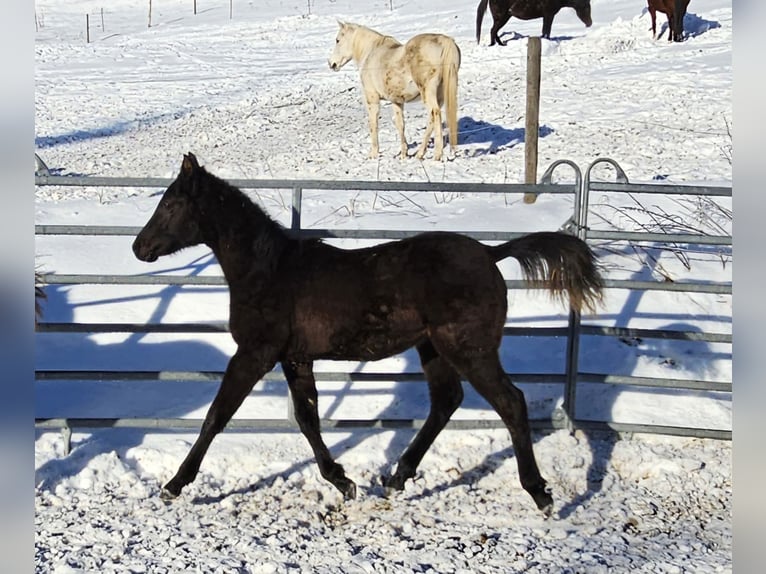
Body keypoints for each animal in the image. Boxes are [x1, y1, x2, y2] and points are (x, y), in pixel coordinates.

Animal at [132, 153, 605, 515]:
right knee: (445, 402)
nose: (139, 248)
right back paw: (396, 478)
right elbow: (307, 418)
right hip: (434, 348)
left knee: (510, 402)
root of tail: (491, 252)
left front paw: (174, 485)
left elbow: (217, 416)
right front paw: (342, 482)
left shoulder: (254, 353)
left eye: (172, 204)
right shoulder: (295, 357)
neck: (268, 270)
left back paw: (540, 494)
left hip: (469, 349)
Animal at [328, 21, 460, 162]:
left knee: (435, 113)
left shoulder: (372, 98)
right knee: (431, 118)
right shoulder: (397, 101)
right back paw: (420, 154)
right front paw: (403, 153)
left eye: (337, 40)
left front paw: (373, 154)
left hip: (428, 92)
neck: (370, 53)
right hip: (439, 95)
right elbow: (400, 124)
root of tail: (444, 40)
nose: (332, 64)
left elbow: (373, 124)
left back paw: (437, 154)